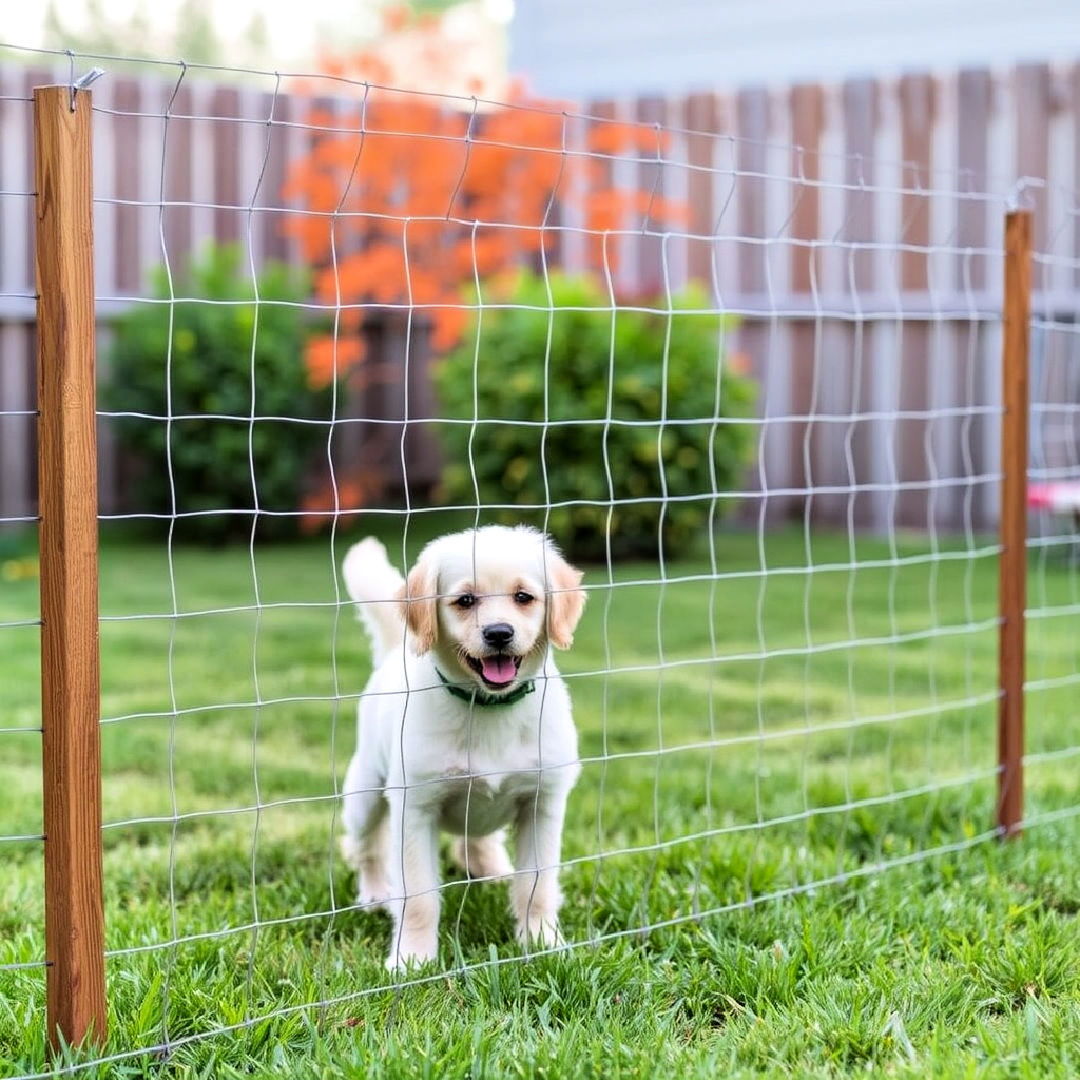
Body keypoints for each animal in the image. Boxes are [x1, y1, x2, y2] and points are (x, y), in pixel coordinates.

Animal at [341, 524, 587, 972]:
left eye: (523, 597)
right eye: (465, 601)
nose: (499, 633)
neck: (489, 705)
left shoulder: (543, 802)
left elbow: (537, 886)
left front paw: (542, 943)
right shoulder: (415, 808)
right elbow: (419, 897)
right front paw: (412, 960)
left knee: (478, 838)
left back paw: (492, 870)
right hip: (364, 793)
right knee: (364, 847)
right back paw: (375, 893)